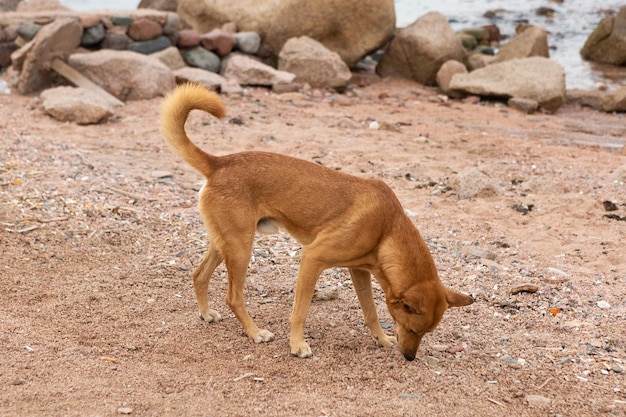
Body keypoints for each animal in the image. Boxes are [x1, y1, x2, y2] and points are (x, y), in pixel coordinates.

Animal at [158, 83, 470, 360]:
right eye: (413, 329)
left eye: (424, 333)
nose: (409, 358)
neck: (388, 227)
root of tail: (219, 163)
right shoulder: (313, 259)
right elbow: (300, 311)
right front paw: (297, 345)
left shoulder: (360, 271)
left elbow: (370, 311)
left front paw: (381, 338)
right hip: (240, 248)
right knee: (233, 297)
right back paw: (255, 333)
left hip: (225, 243)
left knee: (198, 275)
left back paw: (206, 313)